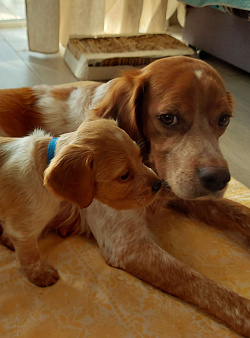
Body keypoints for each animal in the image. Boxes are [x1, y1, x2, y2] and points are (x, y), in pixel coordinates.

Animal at [0, 56, 249, 336]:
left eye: (224, 119)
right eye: (167, 118)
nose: (218, 179)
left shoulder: (173, 188)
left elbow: (241, 212)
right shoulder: (126, 245)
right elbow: (208, 288)